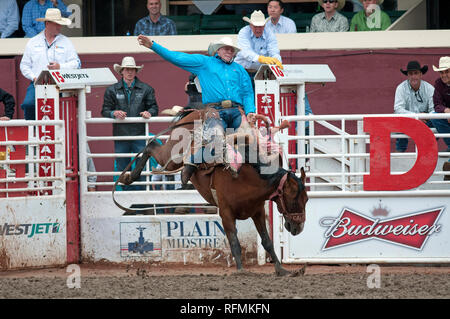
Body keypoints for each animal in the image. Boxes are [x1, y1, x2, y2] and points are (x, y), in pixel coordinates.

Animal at [116, 108, 308, 278]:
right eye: (293, 200)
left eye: (306, 200)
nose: (298, 228)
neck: (247, 177)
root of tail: (194, 112)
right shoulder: (226, 214)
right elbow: (234, 243)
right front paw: (241, 271)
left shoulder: (258, 212)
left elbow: (267, 241)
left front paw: (282, 270)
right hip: (172, 157)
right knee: (151, 145)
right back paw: (130, 176)